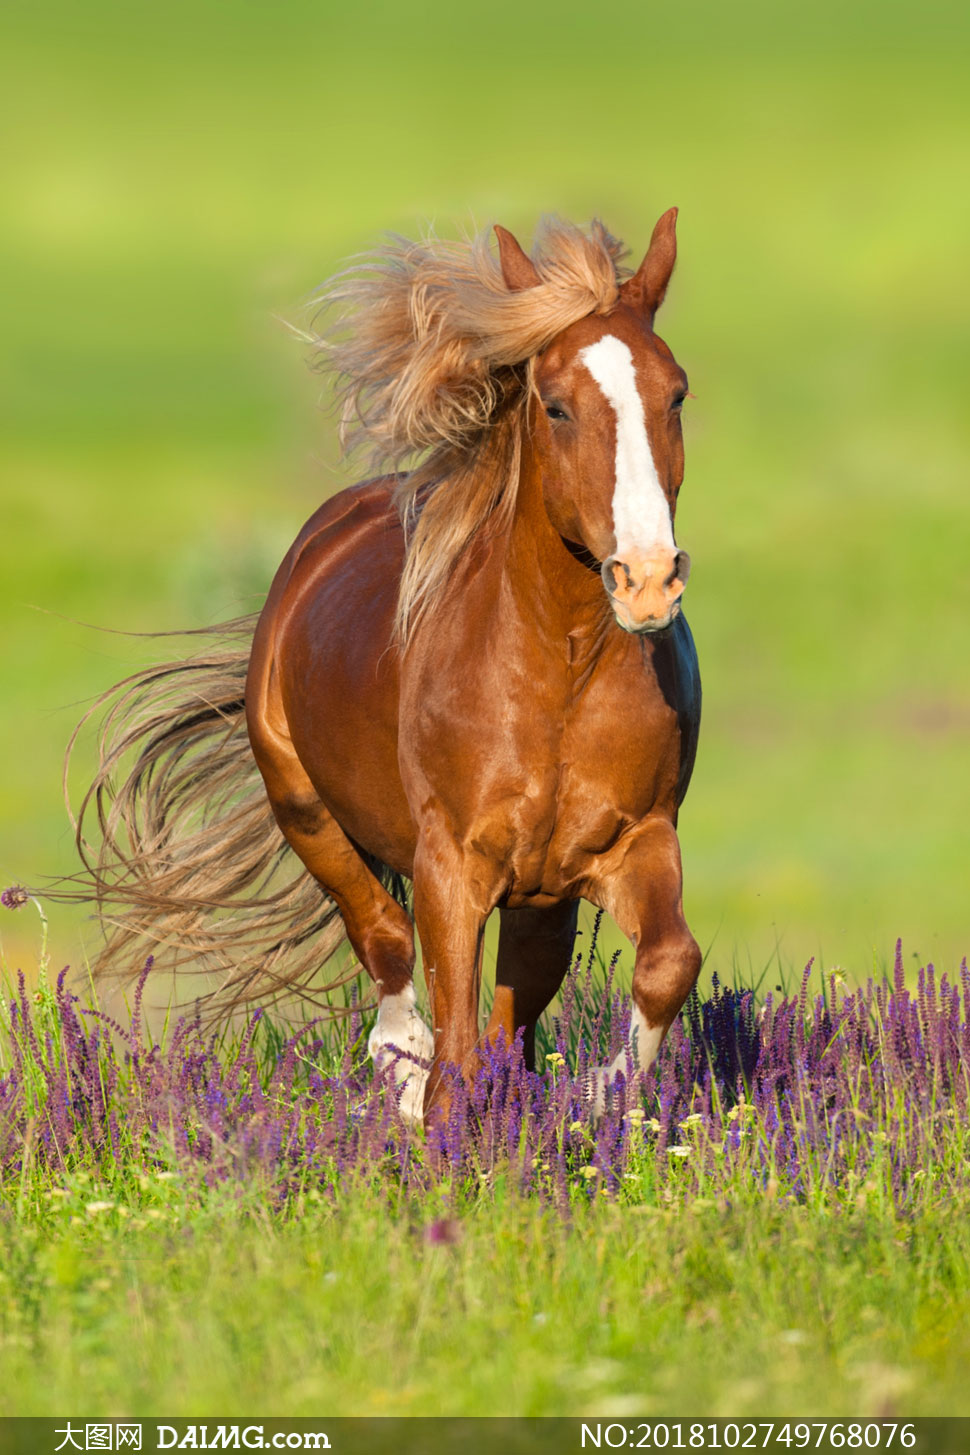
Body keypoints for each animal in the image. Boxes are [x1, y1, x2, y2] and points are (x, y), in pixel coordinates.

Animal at [71, 212, 700, 1123]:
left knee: (509, 1004)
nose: (647, 580)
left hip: (540, 893)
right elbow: (451, 1043)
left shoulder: (635, 839)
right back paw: (398, 1068)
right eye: (555, 405)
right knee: (384, 938)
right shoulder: (451, 864)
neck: (559, 671)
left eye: (675, 394)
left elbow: (666, 964)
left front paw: (593, 1094)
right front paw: (438, 1103)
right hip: (306, 809)